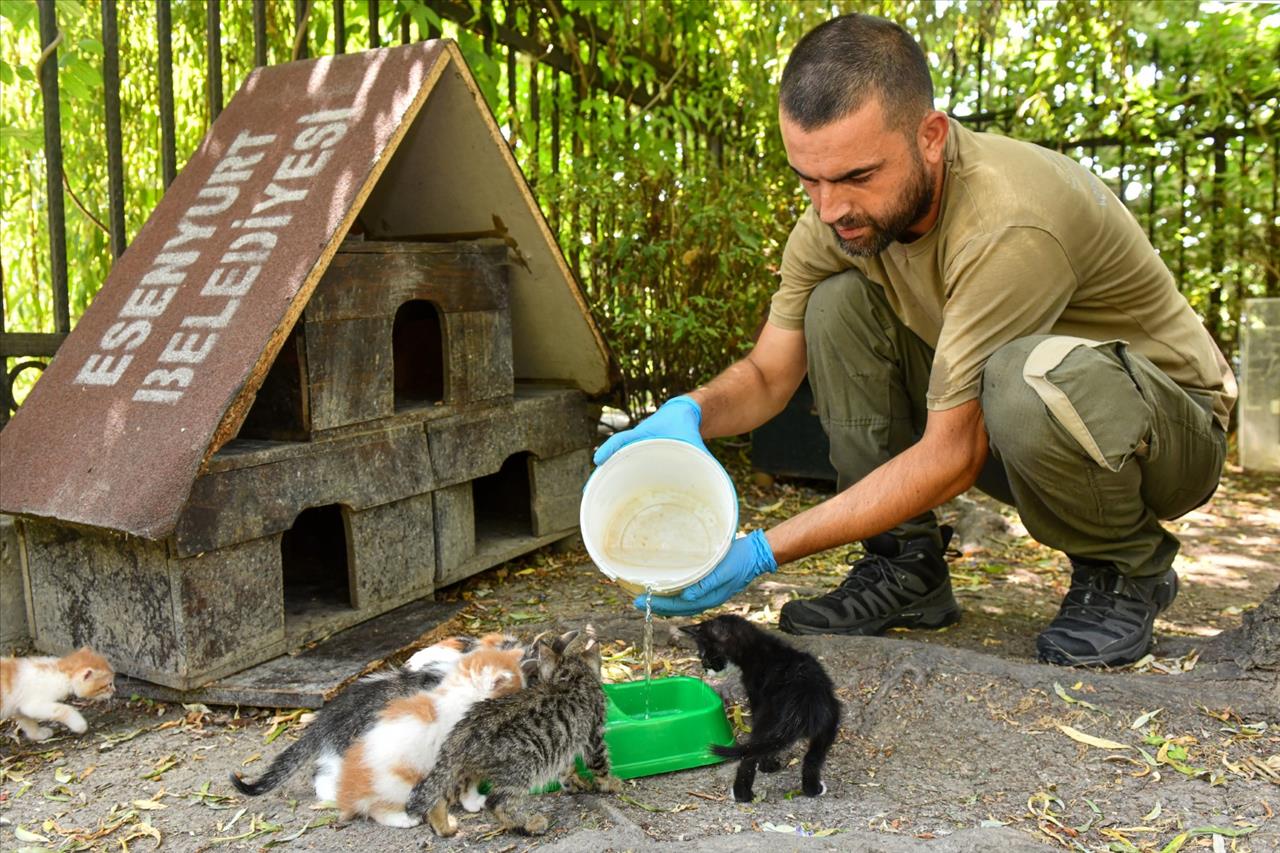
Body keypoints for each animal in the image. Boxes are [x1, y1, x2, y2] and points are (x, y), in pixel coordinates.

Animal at [407, 622, 622, 835]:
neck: (571, 678)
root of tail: (463, 731)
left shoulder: (564, 740)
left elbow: (566, 767)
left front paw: (573, 782)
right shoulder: (594, 734)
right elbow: (600, 764)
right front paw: (610, 783)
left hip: (460, 770)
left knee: (439, 797)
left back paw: (443, 826)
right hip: (523, 765)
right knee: (497, 802)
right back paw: (528, 824)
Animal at [680, 612, 839, 799]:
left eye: (706, 656)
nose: (705, 668)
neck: (757, 648)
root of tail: (805, 699)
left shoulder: (757, 697)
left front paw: (767, 766)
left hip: (770, 717)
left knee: (750, 756)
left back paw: (741, 794)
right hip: (830, 720)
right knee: (813, 757)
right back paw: (813, 789)